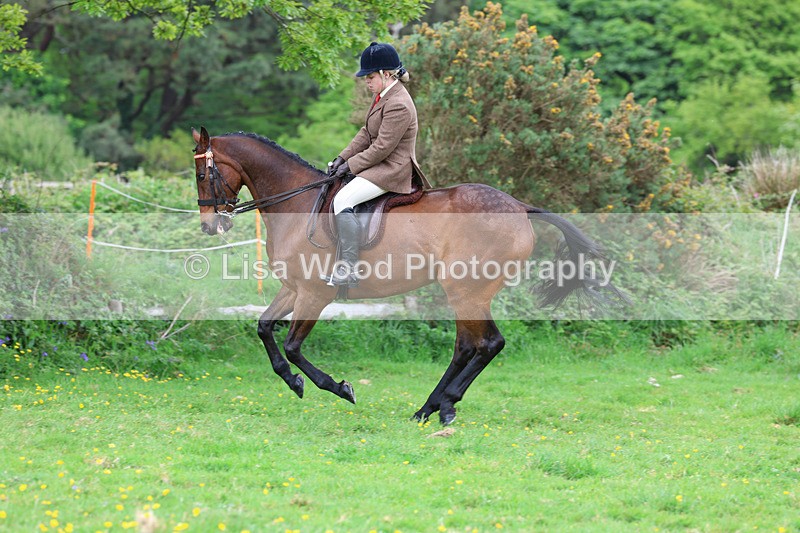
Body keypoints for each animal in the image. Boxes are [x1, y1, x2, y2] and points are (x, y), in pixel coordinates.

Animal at [191, 127, 623, 425]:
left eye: (200, 174)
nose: (210, 226)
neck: (297, 204)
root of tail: (519, 207)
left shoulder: (314, 293)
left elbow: (294, 346)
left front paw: (338, 388)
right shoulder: (292, 288)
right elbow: (264, 327)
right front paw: (292, 381)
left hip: (467, 290)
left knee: (488, 344)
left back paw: (444, 404)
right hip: (466, 292)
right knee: (466, 347)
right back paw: (429, 408)